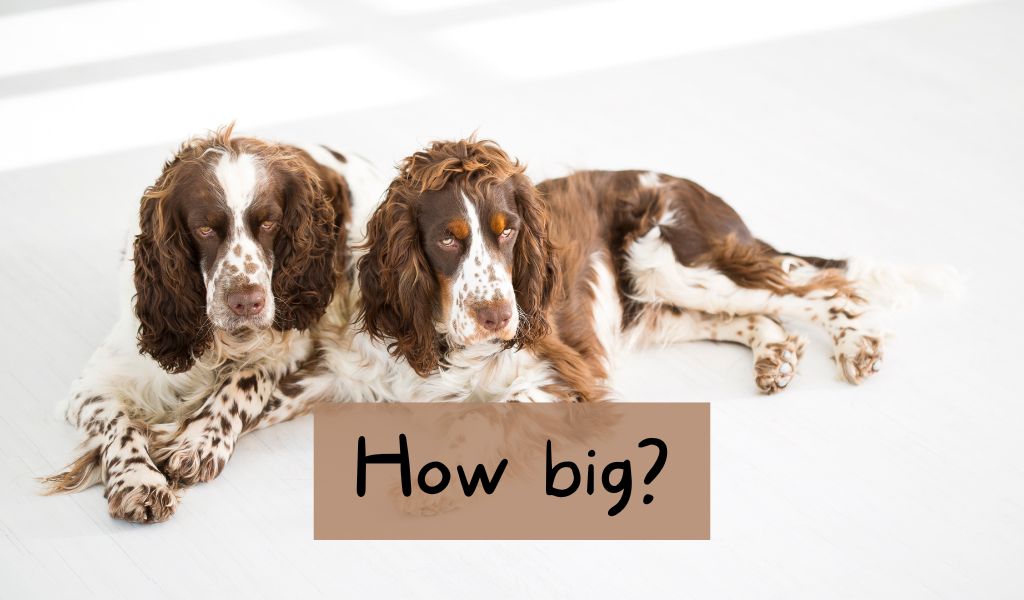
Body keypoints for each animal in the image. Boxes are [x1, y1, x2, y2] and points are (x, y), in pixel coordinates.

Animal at [44, 124, 387, 518]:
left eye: (269, 222)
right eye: (204, 229)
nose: (247, 302)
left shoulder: (289, 345)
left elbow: (244, 380)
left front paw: (201, 441)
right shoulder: (92, 385)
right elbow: (120, 423)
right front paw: (137, 479)